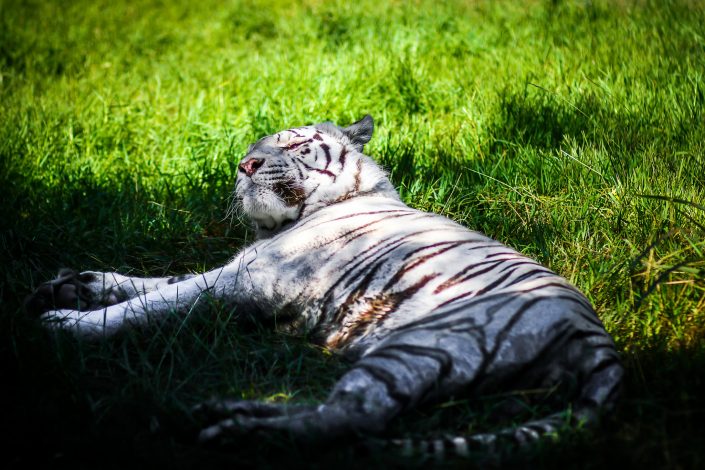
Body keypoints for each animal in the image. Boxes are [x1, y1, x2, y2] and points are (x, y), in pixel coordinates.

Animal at [26, 115, 620, 458]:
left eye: (294, 145)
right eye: (252, 148)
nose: (245, 165)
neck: (278, 227)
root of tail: (599, 342)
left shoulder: (248, 279)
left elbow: (157, 302)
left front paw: (65, 324)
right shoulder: (237, 267)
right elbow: (161, 281)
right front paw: (75, 285)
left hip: (427, 344)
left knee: (353, 417)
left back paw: (244, 433)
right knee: (339, 412)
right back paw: (226, 413)